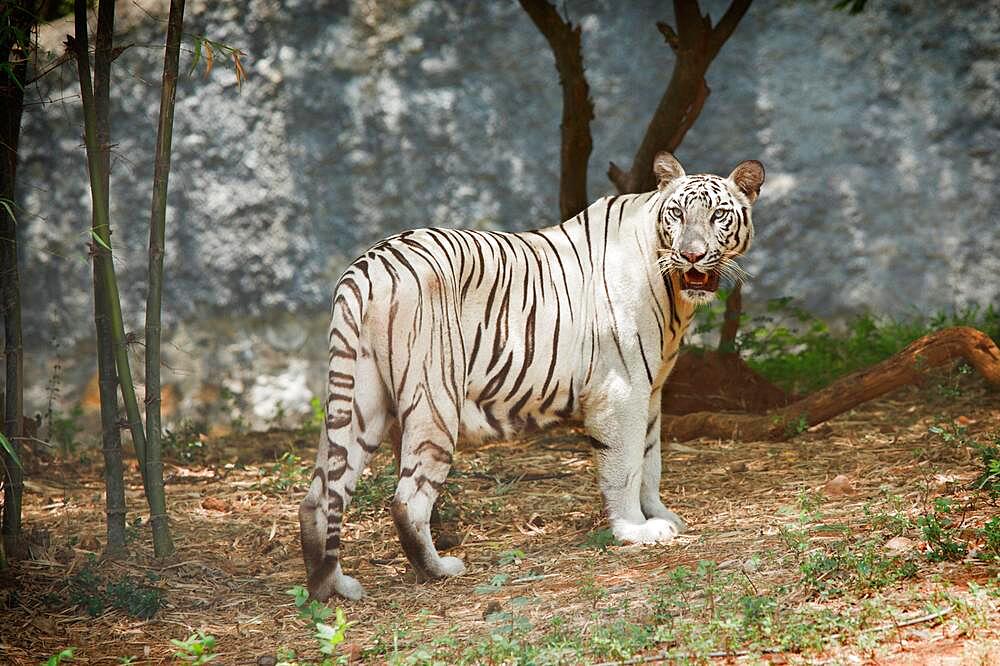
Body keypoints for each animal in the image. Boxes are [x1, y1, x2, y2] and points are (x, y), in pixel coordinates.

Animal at [298, 153, 764, 600]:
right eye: (678, 214)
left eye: (718, 216)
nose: (692, 255)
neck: (674, 292)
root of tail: (367, 265)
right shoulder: (622, 391)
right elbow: (627, 466)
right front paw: (634, 530)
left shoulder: (651, 393)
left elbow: (651, 461)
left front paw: (662, 517)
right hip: (435, 399)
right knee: (406, 501)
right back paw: (439, 570)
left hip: (362, 401)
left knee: (319, 496)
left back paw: (330, 588)